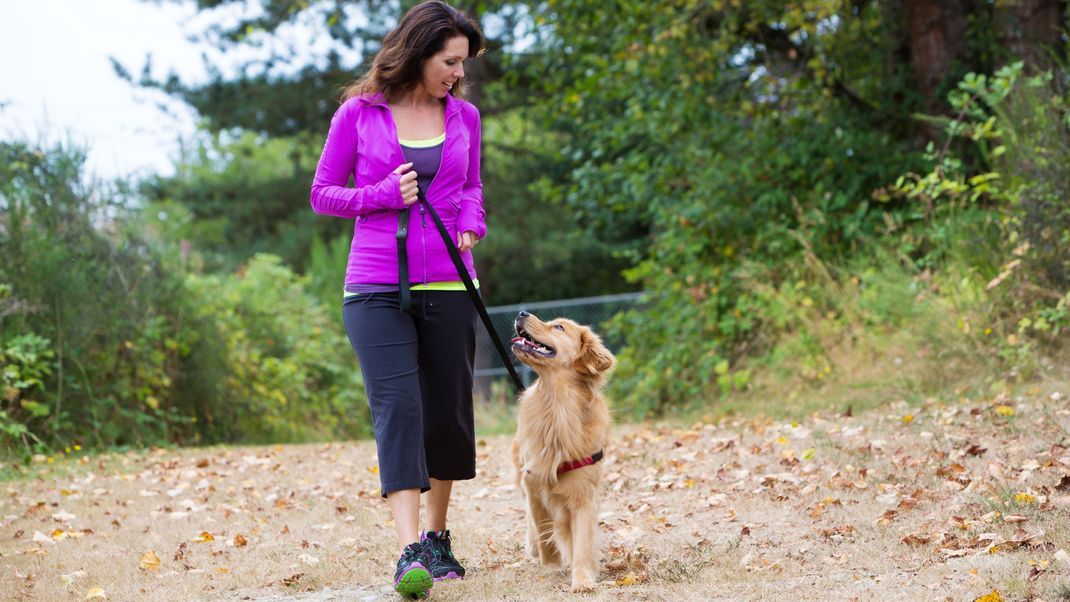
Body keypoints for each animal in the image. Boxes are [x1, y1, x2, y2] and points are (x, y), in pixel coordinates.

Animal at [509, 314, 620, 590]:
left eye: (559, 327)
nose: (521, 313)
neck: (557, 407)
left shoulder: (583, 494)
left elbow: (581, 541)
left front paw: (582, 579)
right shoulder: (534, 484)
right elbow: (543, 530)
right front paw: (551, 565)